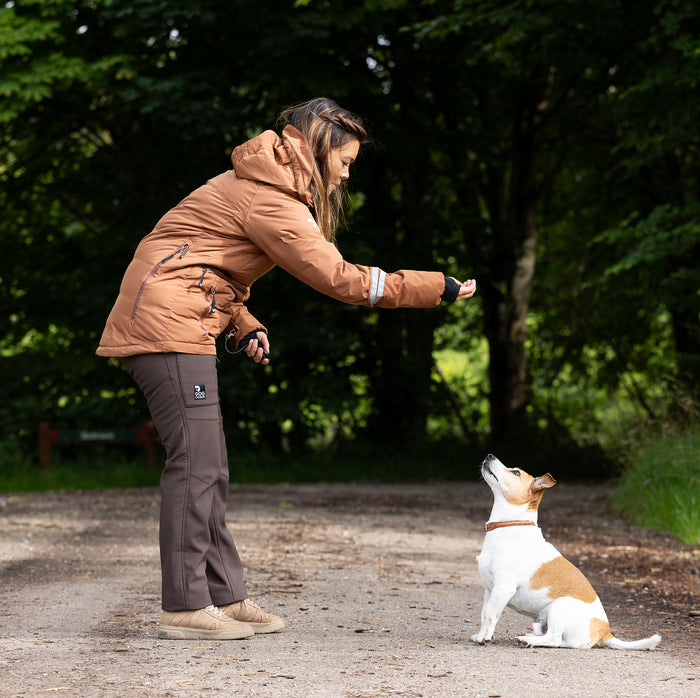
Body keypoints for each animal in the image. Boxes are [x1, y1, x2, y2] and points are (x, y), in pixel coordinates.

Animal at [470, 452, 660, 648]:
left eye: (516, 472)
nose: (489, 455)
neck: (509, 524)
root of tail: (605, 632)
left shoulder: (503, 588)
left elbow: (490, 616)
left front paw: (485, 638)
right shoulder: (490, 590)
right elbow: (484, 616)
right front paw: (480, 635)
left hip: (559, 607)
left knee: (554, 639)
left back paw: (527, 640)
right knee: (561, 641)